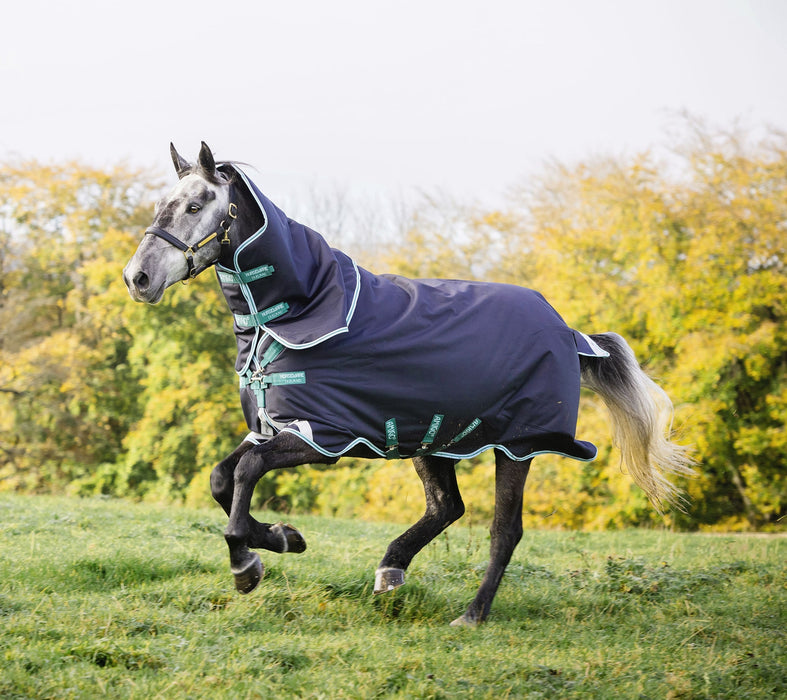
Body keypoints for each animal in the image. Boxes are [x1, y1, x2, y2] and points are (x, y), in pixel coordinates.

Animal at [122, 142, 694, 626]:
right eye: (162, 203)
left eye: (196, 205)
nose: (138, 278)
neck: (297, 312)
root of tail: (568, 331)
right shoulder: (272, 428)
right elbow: (222, 478)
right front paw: (284, 538)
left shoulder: (320, 436)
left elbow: (245, 474)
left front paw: (248, 562)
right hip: (432, 438)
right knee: (446, 507)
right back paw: (391, 568)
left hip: (518, 445)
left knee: (504, 530)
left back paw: (472, 614)